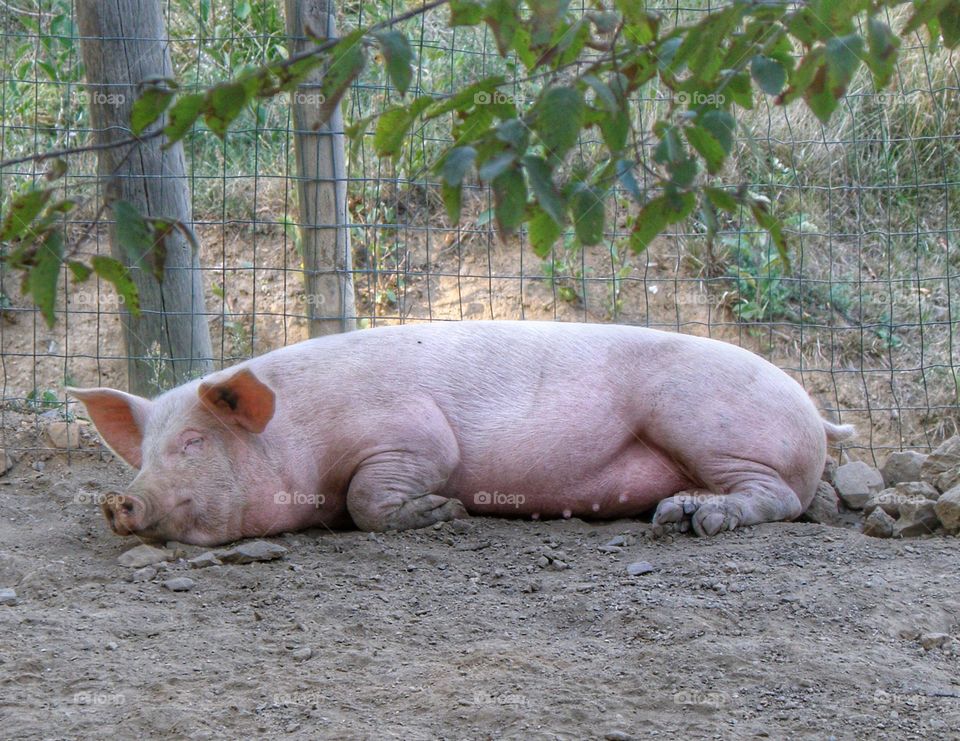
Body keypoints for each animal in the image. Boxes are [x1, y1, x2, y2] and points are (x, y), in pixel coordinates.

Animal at [68, 321, 853, 546]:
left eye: (194, 443)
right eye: (147, 450)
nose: (119, 499)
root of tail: (813, 407)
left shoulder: (412, 434)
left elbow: (370, 497)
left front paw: (444, 510)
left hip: (702, 417)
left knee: (783, 497)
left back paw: (688, 519)